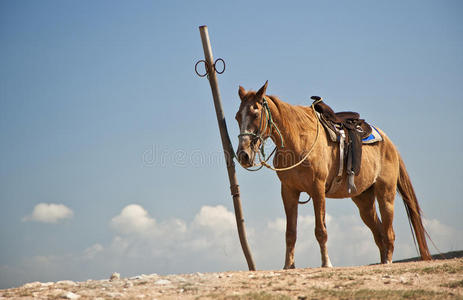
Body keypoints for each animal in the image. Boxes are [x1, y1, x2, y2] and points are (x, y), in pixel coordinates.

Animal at [237, 81, 434, 268]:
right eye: (237, 116)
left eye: (255, 114)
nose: (243, 155)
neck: (298, 139)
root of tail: (391, 144)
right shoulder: (288, 191)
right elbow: (290, 233)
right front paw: (288, 265)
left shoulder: (317, 189)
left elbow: (321, 230)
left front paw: (326, 263)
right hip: (364, 200)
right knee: (379, 234)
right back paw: (383, 259)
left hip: (385, 194)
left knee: (389, 232)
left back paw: (388, 262)